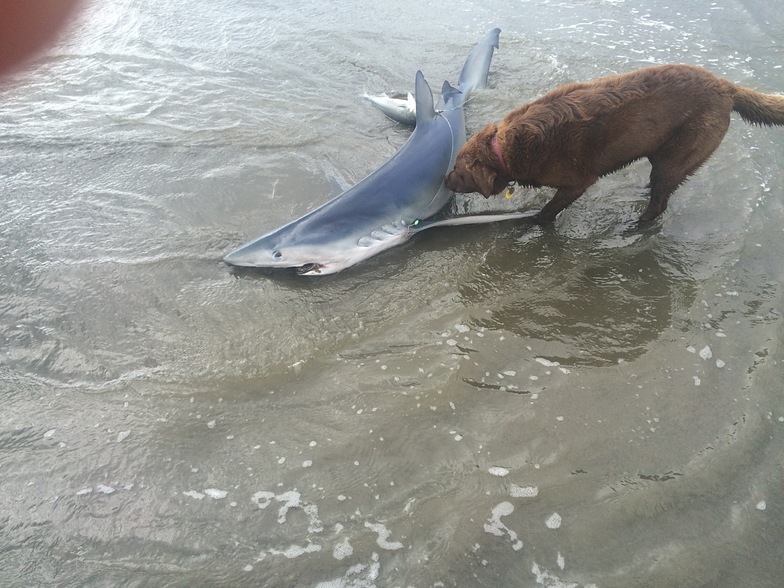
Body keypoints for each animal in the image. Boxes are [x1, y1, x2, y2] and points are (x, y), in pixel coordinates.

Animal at [448, 63, 784, 222]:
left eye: (460, 173)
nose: (444, 180)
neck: (506, 148)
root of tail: (727, 87)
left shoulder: (577, 182)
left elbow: (549, 210)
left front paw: (533, 223)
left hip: (680, 153)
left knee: (660, 203)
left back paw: (637, 225)